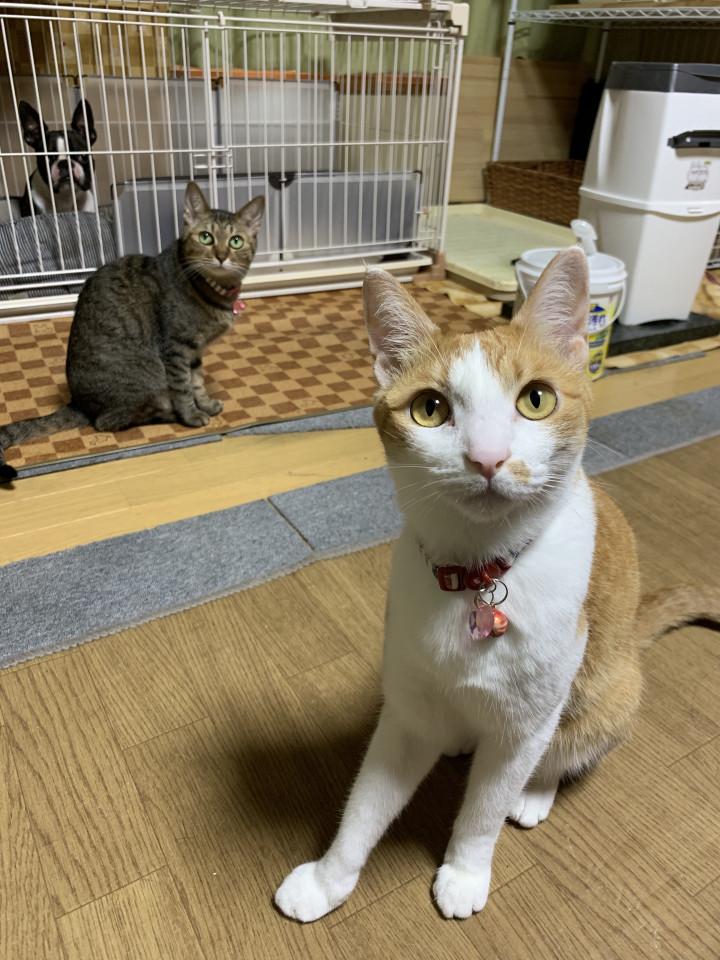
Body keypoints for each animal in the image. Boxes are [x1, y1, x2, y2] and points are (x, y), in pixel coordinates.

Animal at [0, 182, 264, 481]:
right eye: (206, 237)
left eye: (236, 241)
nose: (221, 256)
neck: (214, 291)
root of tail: (78, 403)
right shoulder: (175, 348)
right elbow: (184, 387)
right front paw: (191, 414)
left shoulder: (194, 351)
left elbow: (197, 381)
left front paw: (205, 403)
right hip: (148, 377)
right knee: (109, 422)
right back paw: (170, 414)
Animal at [275, 251, 719, 922]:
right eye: (430, 409)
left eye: (536, 400)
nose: (487, 457)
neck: (478, 575)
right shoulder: (408, 710)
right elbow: (366, 803)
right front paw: (329, 879)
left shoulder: (523, 726)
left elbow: (484, 809)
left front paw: (464, 871)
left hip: (606, 690)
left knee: (568, 744)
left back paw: (535, 791)